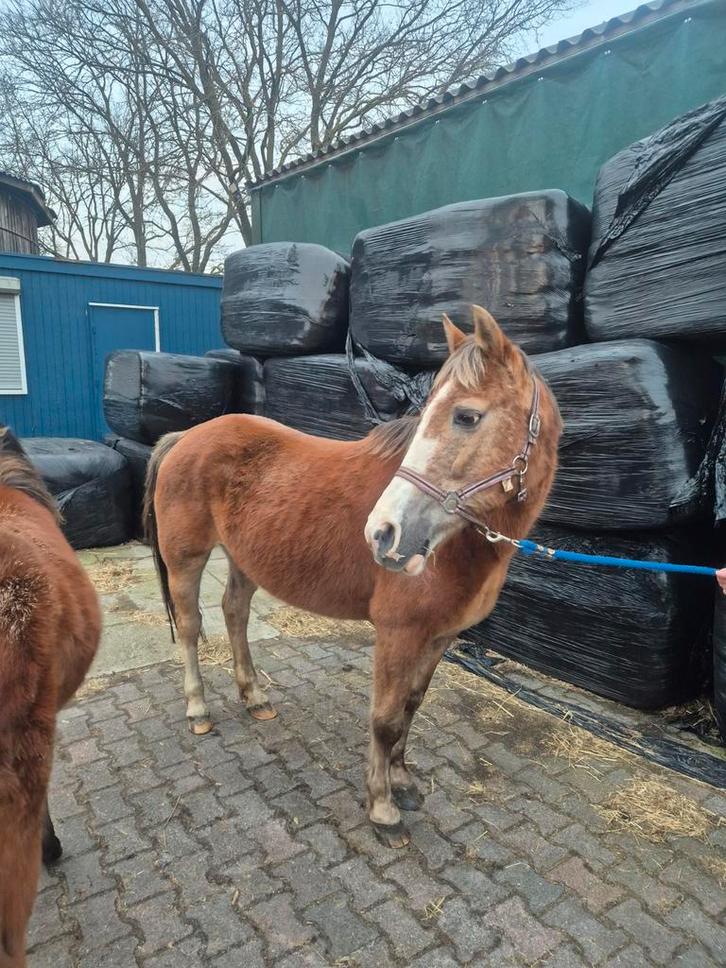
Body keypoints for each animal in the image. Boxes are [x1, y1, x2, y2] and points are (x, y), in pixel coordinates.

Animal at [143, 306, 561, 847]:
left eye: (466, 416)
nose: (383, 534)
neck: (454, 547)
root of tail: (185, 437)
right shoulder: (398, 633)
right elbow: (384, 720)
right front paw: (382, 809)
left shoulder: (439, 637)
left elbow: (410, 709)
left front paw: (403, 783)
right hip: (186, 559)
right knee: (192, 628)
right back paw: (198, 710)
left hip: (244, 559)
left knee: (234, 613)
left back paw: (254, 696)